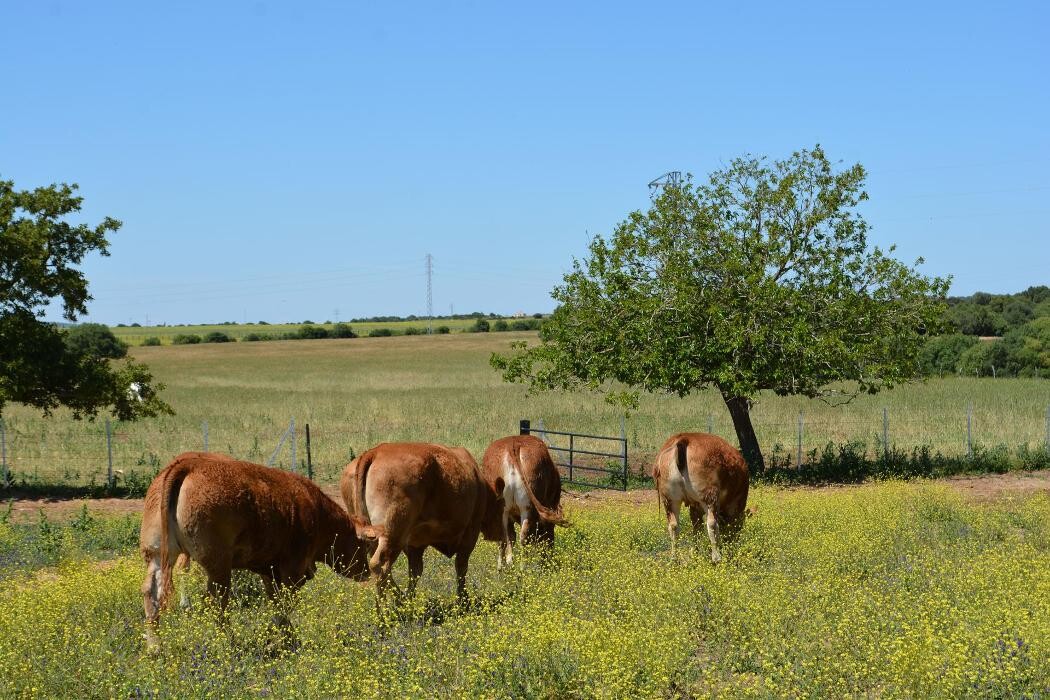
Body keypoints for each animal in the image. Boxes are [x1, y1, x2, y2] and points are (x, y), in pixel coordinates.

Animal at [139, 451, 369, 650]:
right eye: (365, 545)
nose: (367, 572)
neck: (317, 512)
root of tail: (187, 465)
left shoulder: (270, 570)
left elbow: (275, 601)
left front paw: (288, 638)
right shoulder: (293, 571)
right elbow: (283, 605)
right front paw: (275, 639)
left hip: (157, 555)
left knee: (151, 592)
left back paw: (155, 647)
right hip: (219, 567)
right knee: (216, 601)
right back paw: (229, 643)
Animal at [342, 442, 506, 604]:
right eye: (502, 506)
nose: (500, 535)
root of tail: (375, 452)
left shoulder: (415, 543)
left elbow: (415, 571)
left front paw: (410, 598)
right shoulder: (470, 531)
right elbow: (461, 566)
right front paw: (463, 600)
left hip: (375, 537)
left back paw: (398, 602)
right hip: (393, 535)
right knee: (379, 565)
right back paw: (389, 607)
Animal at [480, 434, 567, 566]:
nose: (549, 557)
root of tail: (514, 444)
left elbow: (510, 537)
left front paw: (509, 561)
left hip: (503, 509)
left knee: (503, 538)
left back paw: (501, 568)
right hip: (527, 508)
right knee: (524, 537)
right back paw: (523, 568)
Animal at [651, 432, 751, 562]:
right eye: (740, 525)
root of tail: (683, 439)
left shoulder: (694, 505)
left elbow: (696, 526)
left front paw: (695, 553)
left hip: (669, 499)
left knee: (673, 526)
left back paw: (674, 558)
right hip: (709, 496)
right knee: (712, 524)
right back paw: (716, 558)